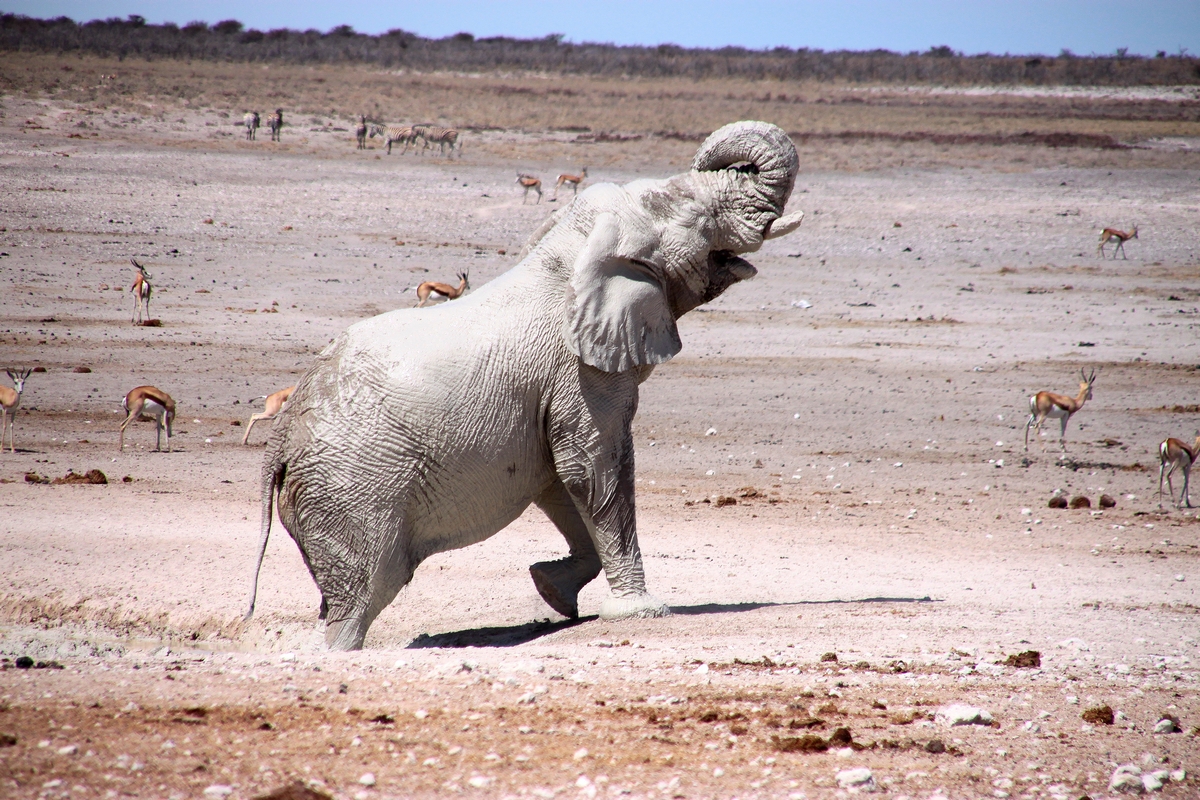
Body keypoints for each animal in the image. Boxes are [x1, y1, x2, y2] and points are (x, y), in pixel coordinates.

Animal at [243, 122, 806, 652]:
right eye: (694, 213)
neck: (571, 252)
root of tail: (279, 443)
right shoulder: (578, 373)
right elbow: (593, 469)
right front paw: (642, 610)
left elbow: (560, 482)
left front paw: (552, 591)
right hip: (352, 491)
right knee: (363, 595)